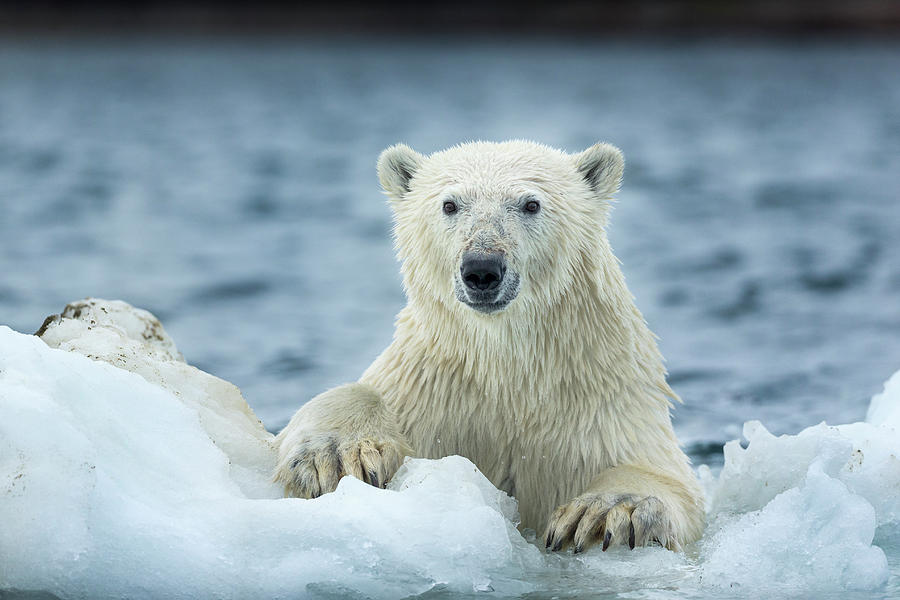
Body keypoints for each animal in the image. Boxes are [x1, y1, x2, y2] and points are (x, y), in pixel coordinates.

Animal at [274, 141, 704, 552]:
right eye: (449, 204)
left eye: (531, 204)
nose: (481, 268)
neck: (506, 370)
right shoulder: (430, 390)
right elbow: (358, 396)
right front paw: (335, 455)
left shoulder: (600, 407)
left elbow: (658, 473)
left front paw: (607, 510)